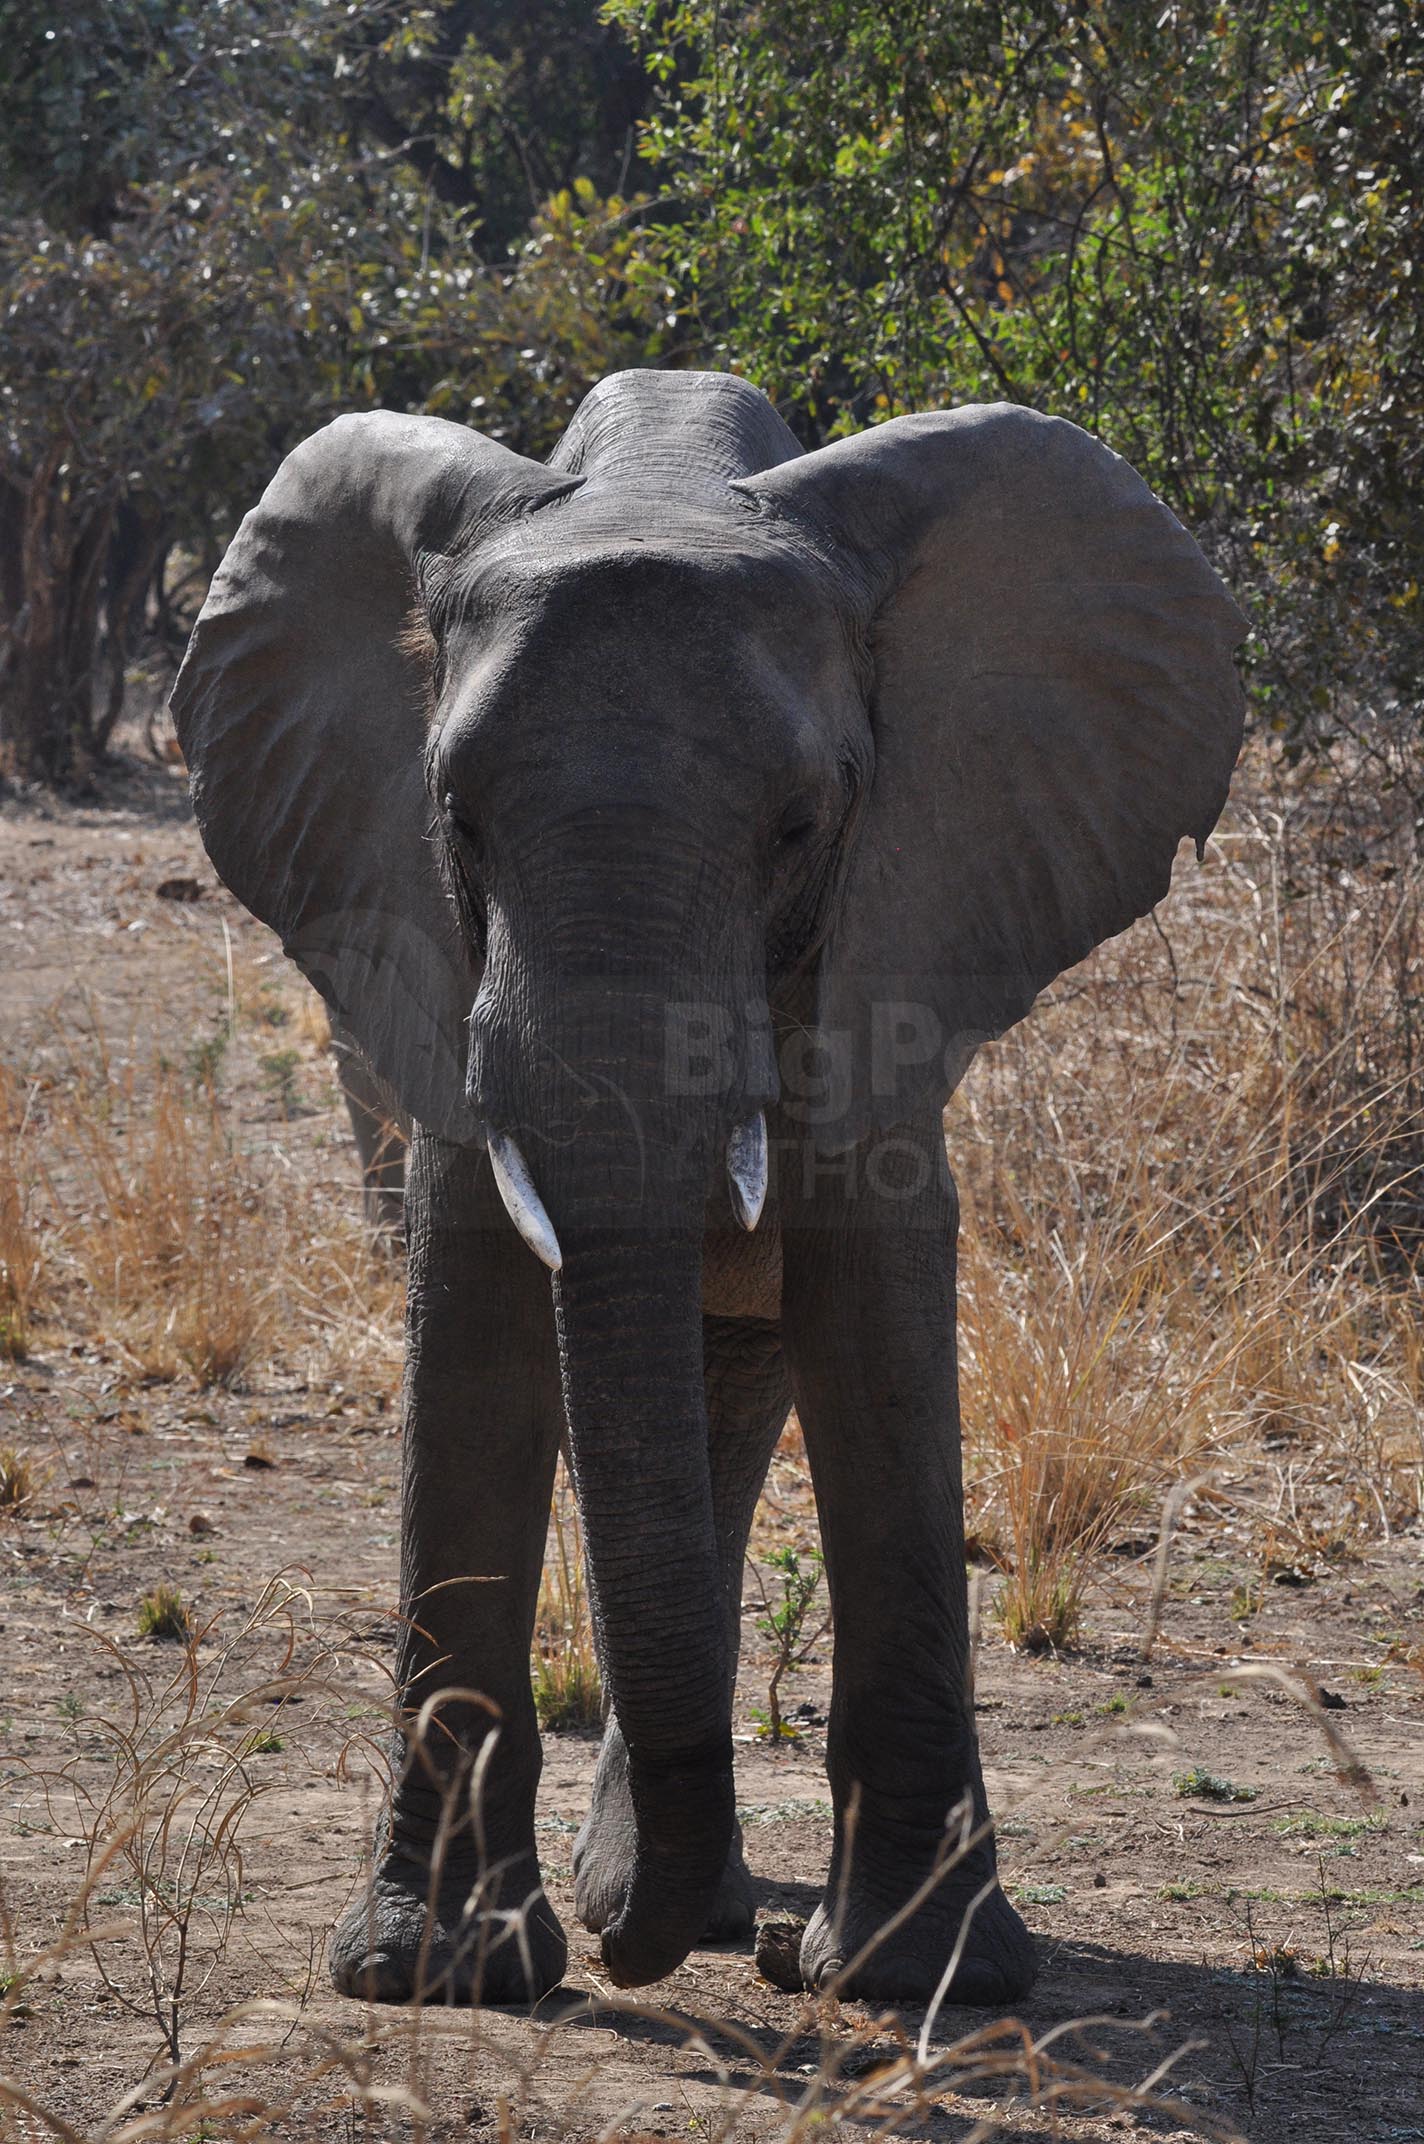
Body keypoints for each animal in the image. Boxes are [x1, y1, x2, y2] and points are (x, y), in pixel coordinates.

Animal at [169, 364, 1243, 2006]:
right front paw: (438, 1973)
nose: (636, 1965)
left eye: (802, 825)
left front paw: (916, 1981)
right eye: (456, 819)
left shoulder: (905, 921)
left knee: (732, 1404)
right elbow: (472, 1315)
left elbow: (875, 1317)